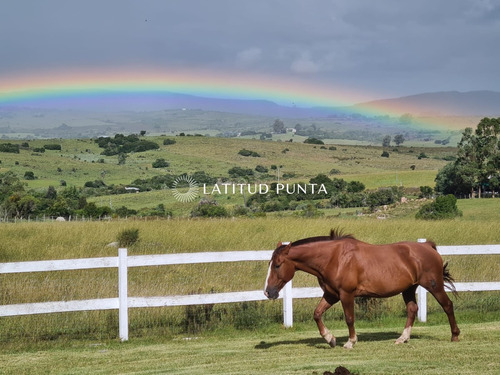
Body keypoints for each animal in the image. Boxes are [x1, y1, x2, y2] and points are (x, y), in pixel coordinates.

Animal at [264, 229, 458, 350]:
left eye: (278, 265)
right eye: (270, 264)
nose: (268, 292)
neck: (334, 258)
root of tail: (427, 246)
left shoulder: (346, 294)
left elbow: (349, 318)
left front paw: (350, 342)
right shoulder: (331, 295)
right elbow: (317, 314)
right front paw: (330, 339)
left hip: (434, 286)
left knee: (447, 305)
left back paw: (454, 336)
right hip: (409, 289)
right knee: (412, 309)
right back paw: (402, 338)